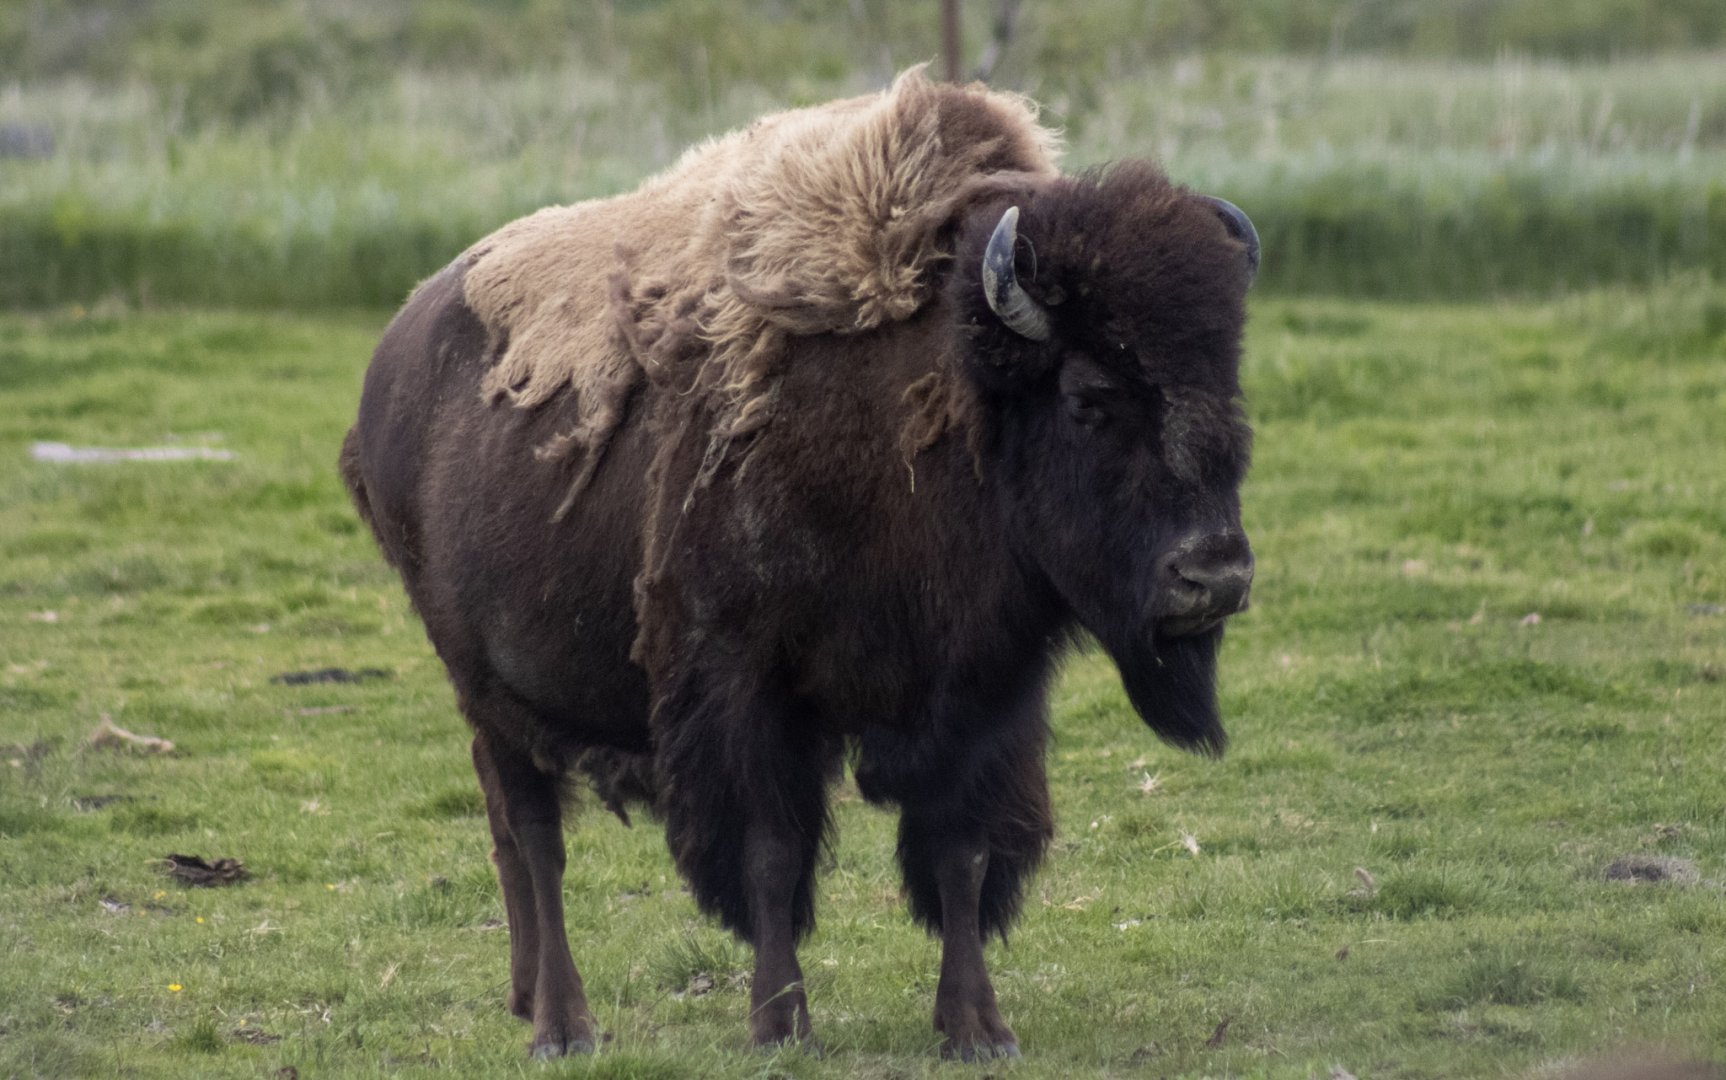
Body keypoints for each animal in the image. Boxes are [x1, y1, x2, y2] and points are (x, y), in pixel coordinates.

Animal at [341, 68, 1258, 1061]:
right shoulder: (744, 685)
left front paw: (977, 1029)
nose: (1215, 575)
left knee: (510, 830)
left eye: (1228, 385)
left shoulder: (983, 696)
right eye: (1089, 398)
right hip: (489, 686)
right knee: (537, 832)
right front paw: (781, 1023)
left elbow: (961, 853)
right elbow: (772, 855)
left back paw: (524, 999)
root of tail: (386, 373)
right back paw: (563, 1026)